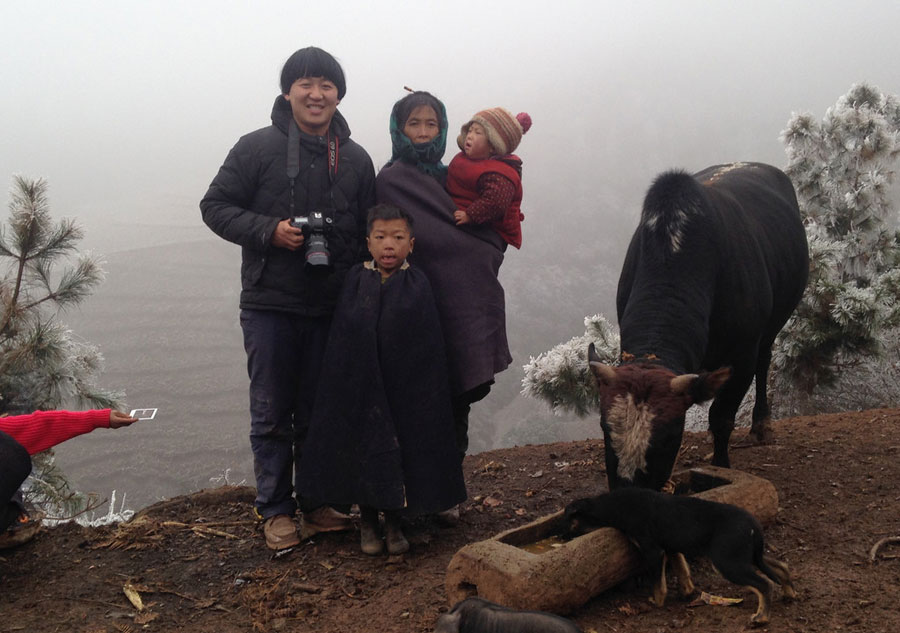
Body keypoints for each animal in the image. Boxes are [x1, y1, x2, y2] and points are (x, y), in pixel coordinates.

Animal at [568, 486, 800, 624]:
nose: (564, 537)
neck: (614, 505)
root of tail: (754, 525)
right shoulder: (671, 547)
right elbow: (682, 570)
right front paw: (687, 592)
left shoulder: (653, 550)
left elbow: (658, 582)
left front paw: (656, 602)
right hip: (746, 556)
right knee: (781, 567)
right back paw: (789, 593)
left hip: (727, 562)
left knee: (764, 584)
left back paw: (762, 617)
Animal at [592, 163, 808, 488]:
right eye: (605, 429)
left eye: (669, 437)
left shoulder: (742, 355)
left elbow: (721, 418)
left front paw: (721, 468)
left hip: (774, 322)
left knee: (764, 362)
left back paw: (761, 424)